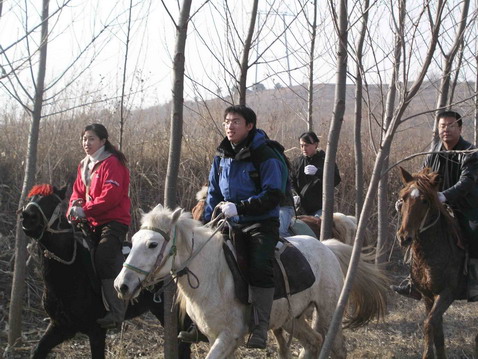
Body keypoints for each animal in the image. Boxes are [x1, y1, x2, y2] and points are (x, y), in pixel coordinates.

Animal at [21, 186, 191, 359]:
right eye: (30, 199)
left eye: (51, 201)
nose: (27, 217)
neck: (70, 272)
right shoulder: (60, 326)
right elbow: (38, 350)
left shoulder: (96, 331)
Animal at [116, 205, 388, 359]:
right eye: (134, 239)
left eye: (152, 244)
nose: (122, 285)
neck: (212, 274)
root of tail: (327, 247)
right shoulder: (217, 337)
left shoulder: (228, 336)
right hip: (291, 318)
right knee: (313, 342)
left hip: (328, 311)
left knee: (336, 347)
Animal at [396, 169, 474, 359]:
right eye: (403, 198)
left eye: (425, 201)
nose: (404, 237)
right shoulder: (428, 295)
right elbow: (437, 332)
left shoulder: (446, 294)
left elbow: (429, 323)